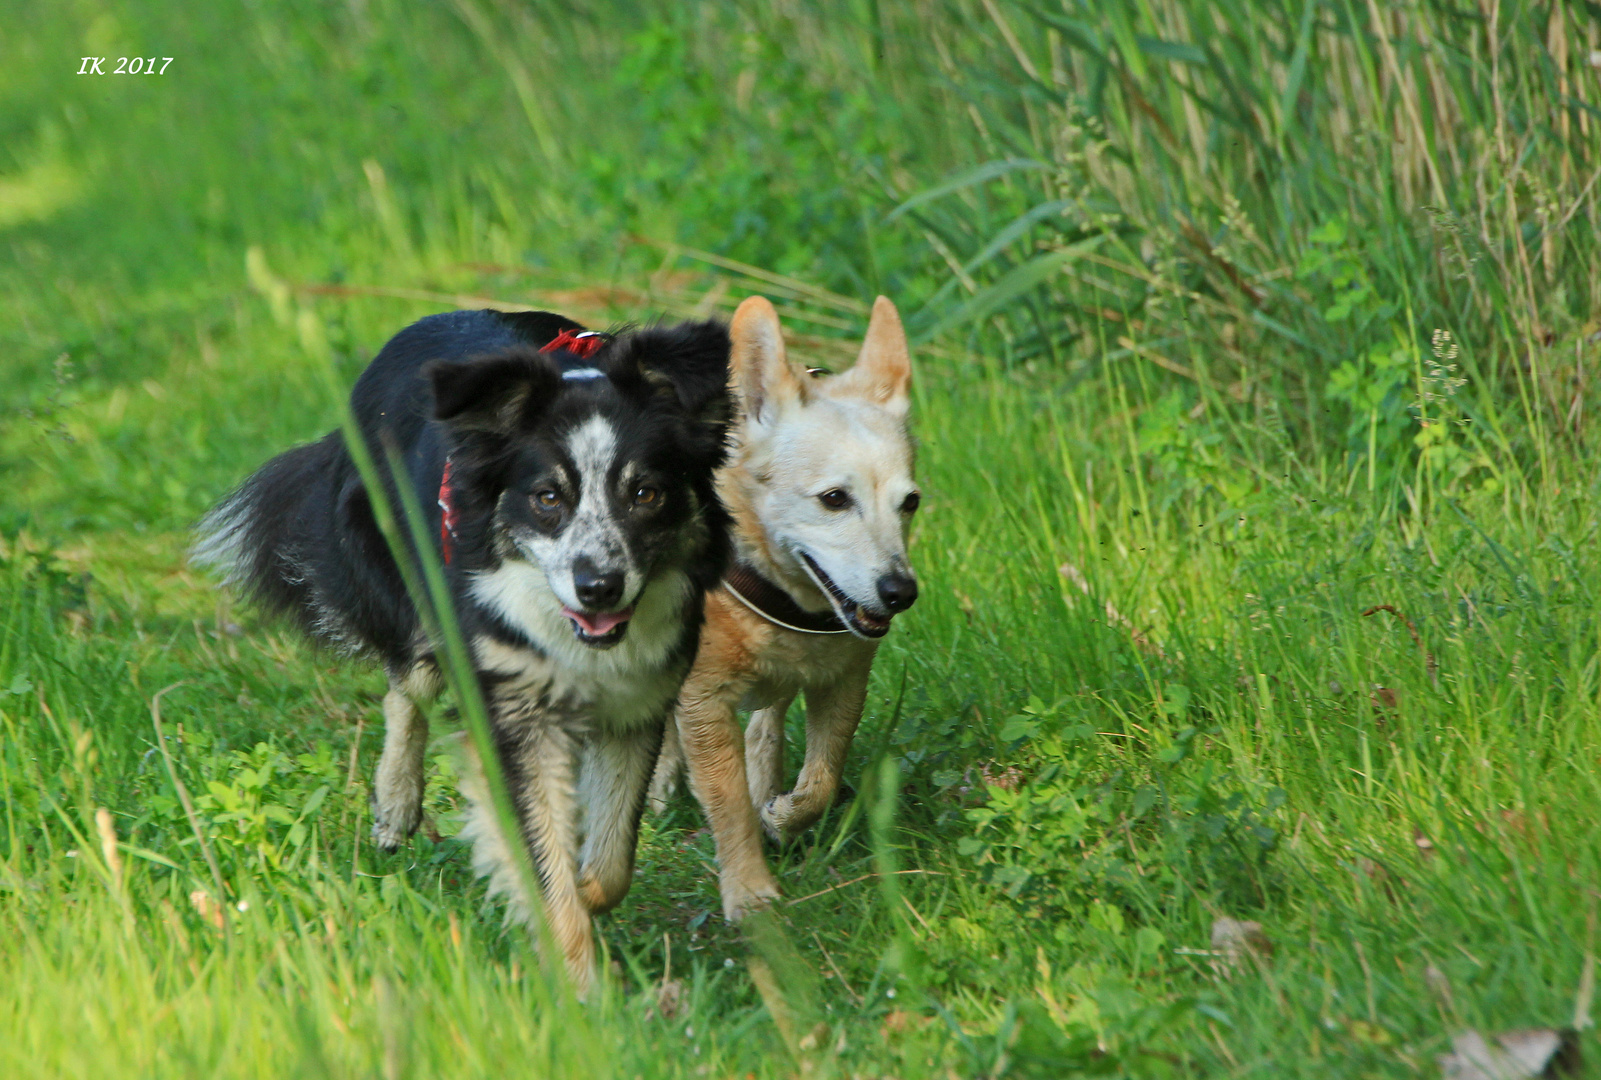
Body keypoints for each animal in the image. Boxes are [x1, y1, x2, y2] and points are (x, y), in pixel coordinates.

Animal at [646, 296, 922, 921]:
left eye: (911, 503)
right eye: (834, 499)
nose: (901, 591)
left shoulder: (843, 685)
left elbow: (822, 777)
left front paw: (784, 816)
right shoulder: (703, 705)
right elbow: (728, 807)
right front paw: (749, 890)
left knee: (766, 728)